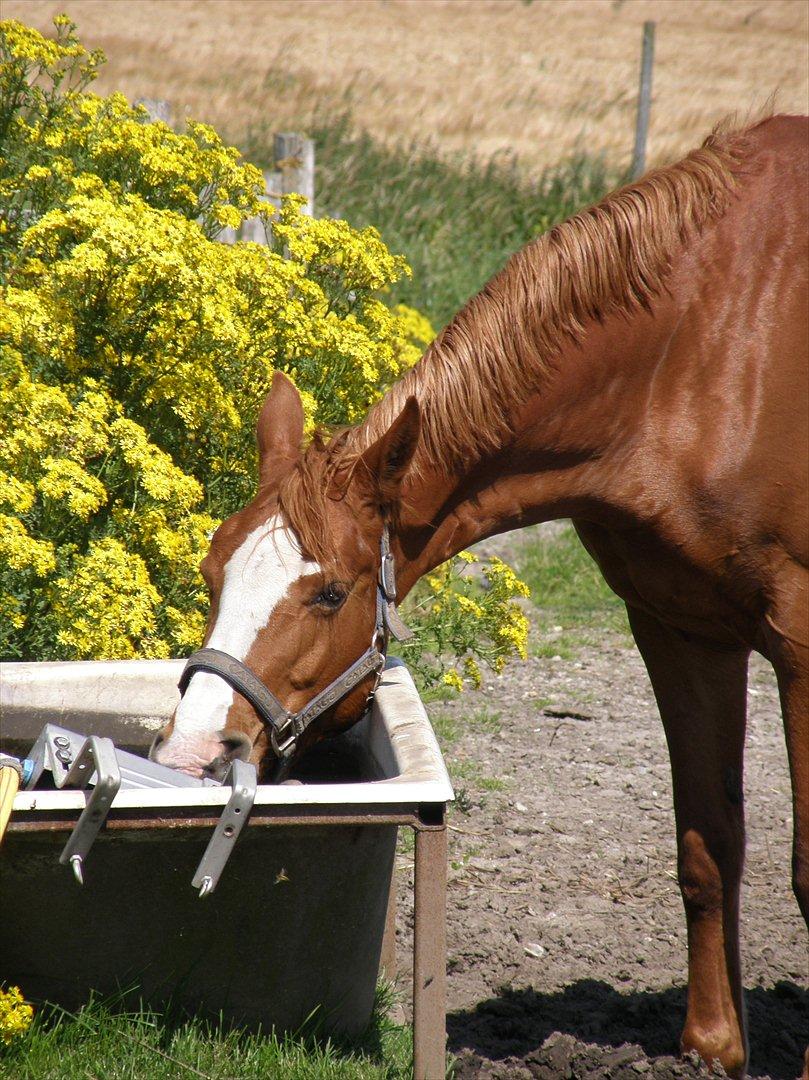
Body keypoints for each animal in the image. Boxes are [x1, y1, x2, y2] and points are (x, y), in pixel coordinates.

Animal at [153, 113, 807, 1075]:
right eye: (211, 574)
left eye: (330, 594)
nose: (193, 752)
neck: (715, 348)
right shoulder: (680, 628)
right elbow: (707, 840)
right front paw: (713, 1047)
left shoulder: (800, 646)